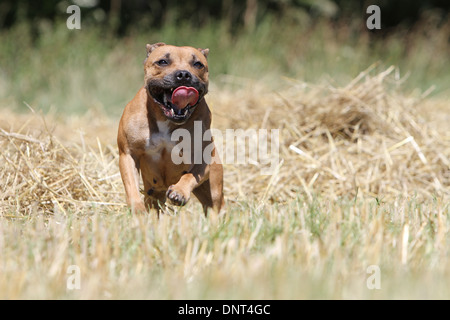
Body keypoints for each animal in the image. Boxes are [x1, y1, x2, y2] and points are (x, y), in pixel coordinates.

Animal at [117, 41, 224, 214]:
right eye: (162, 62)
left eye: (198, 64)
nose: (184, 74)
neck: (165, 119)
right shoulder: (127, 154)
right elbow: (131, 185)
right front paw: (136, 207)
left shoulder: (204, 158)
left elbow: (189, 176)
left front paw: (179, 192)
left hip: (213, 191)